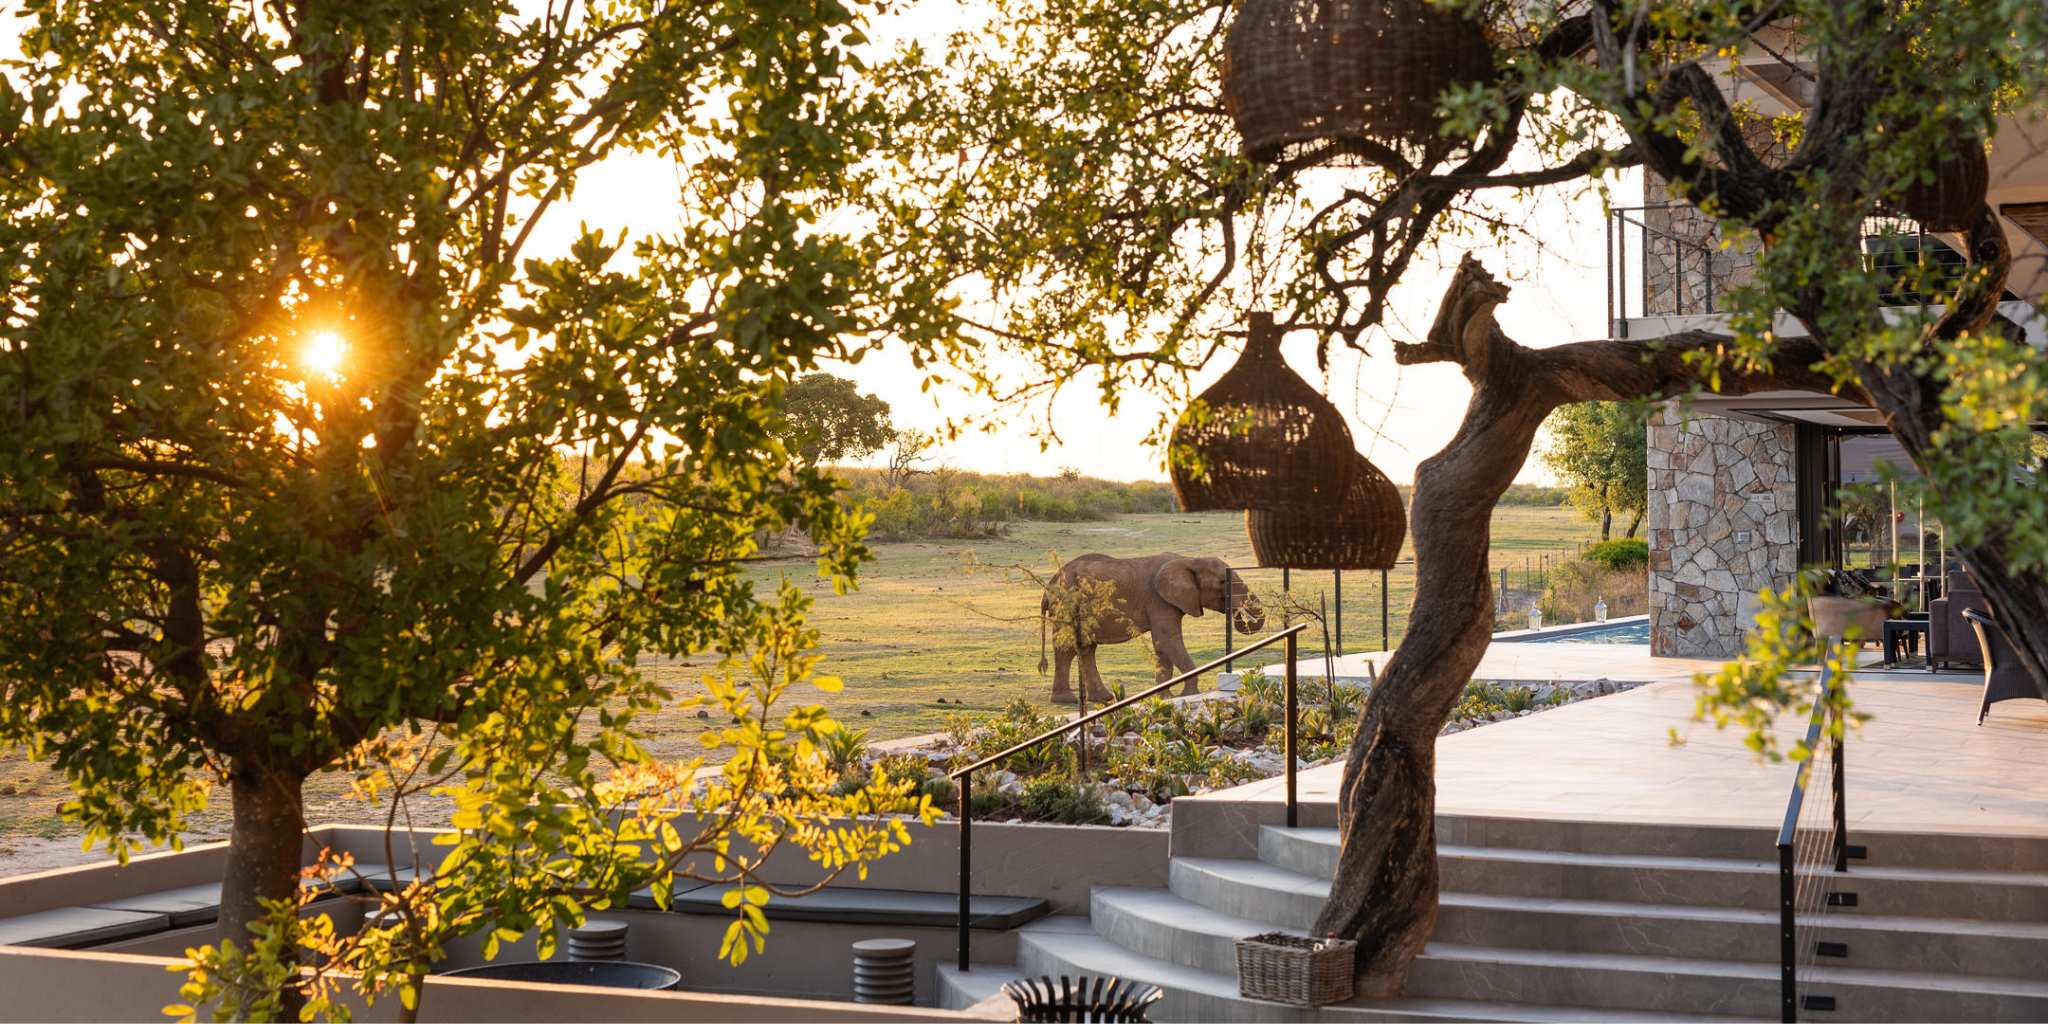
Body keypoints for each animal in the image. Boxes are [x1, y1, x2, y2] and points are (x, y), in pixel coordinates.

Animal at [1036, 552, 1265, 704]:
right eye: (1222, 581)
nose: (1241, 614)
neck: (1189, 560)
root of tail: (1049, 586)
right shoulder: (1159, 600)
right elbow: (1168, 639)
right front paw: (1187, 695)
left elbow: (1163, 645)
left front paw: (1165, 697)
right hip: (1065, 603)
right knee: (1067, 648)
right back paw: (1065, 700)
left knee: (1086, 648)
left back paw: (1102, 698)